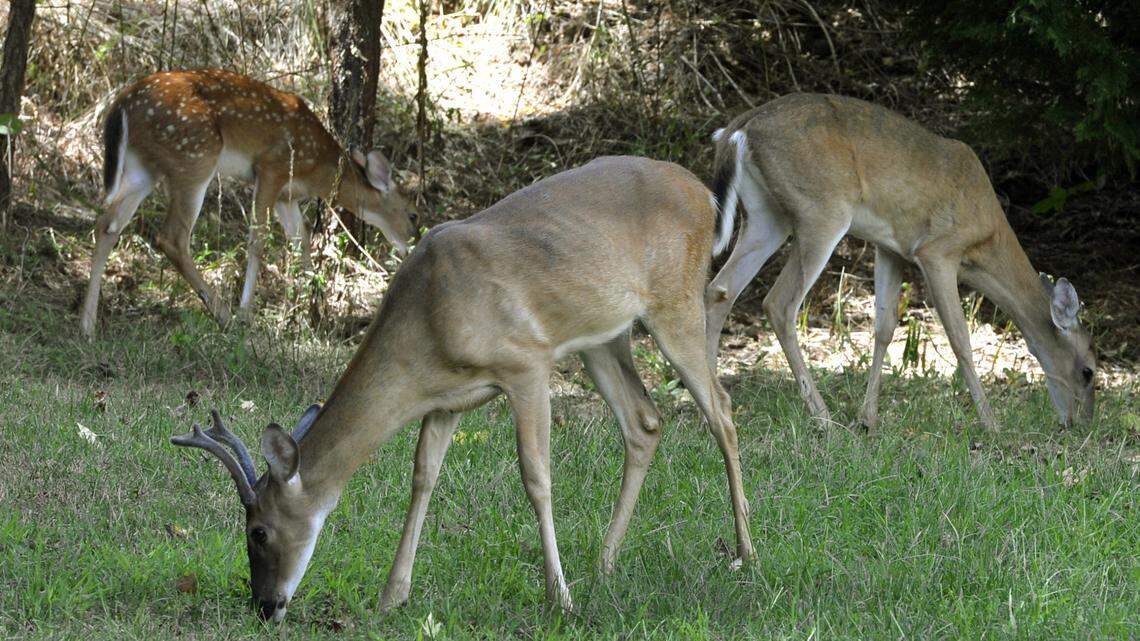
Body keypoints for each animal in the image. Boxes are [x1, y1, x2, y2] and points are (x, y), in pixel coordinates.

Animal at [81, 69, 418, 337]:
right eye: (412, 214)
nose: (411, 245)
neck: (318, 167)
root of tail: (122, 104)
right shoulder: (271, 167)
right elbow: (258, 240)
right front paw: (247, 313)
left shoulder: (287, 197)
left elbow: (301, 241)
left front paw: (313, 315)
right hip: (194, 156)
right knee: (172, 237)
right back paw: (224, 317)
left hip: (143, 167)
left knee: (107, 225)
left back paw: (88, 325)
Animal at [171, 156, 755, 622]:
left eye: (258, 531)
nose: (265, 606)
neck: (430, 320)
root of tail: (704, 194)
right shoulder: (445, 400)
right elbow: (422, 477)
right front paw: (392, 596)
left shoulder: (527, 363)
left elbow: (536, 477)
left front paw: (559, 598)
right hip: (604, 336)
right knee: (645, 421)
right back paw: (605, 562)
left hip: (677, 302)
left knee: (723, 412)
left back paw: (745, 555)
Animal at [704, 93, 1096, 432]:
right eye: (1089, 371)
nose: (1078, 423)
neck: (984, 240)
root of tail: (739, 129)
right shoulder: (938, 251)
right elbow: (959, 338)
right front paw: (991, 424)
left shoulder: (891, 248)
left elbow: (884, 328)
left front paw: (868, 418)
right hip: (822, 210)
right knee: (779, 303)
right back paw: (823, 418)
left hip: (767, 215)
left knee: (720, 290)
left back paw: (711, 406)